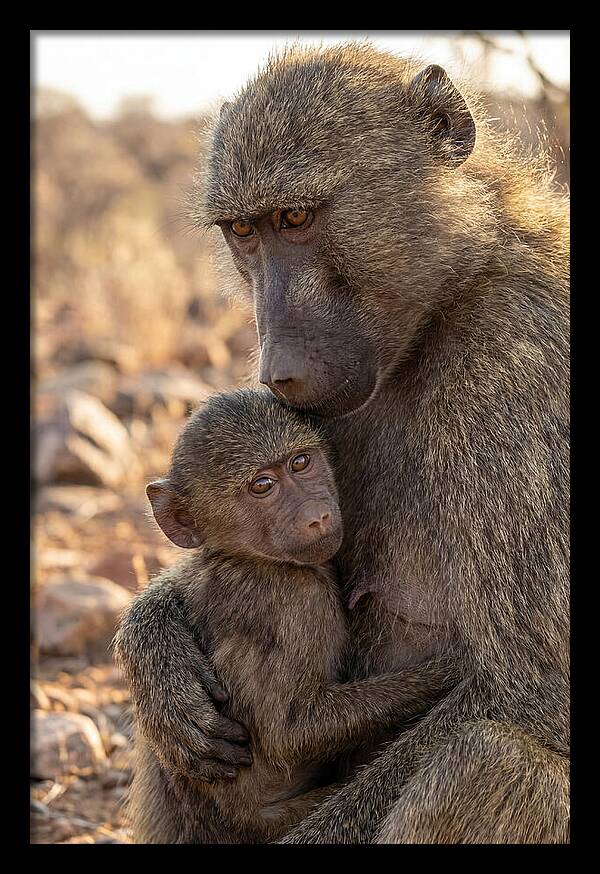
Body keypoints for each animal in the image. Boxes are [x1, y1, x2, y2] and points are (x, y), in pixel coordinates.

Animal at [118, 388, 457, 843]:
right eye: (262, 486)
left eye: (300, 463)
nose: (318, 516)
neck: (248, 558)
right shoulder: (296, 601)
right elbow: (291, 732)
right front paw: (447, 671)